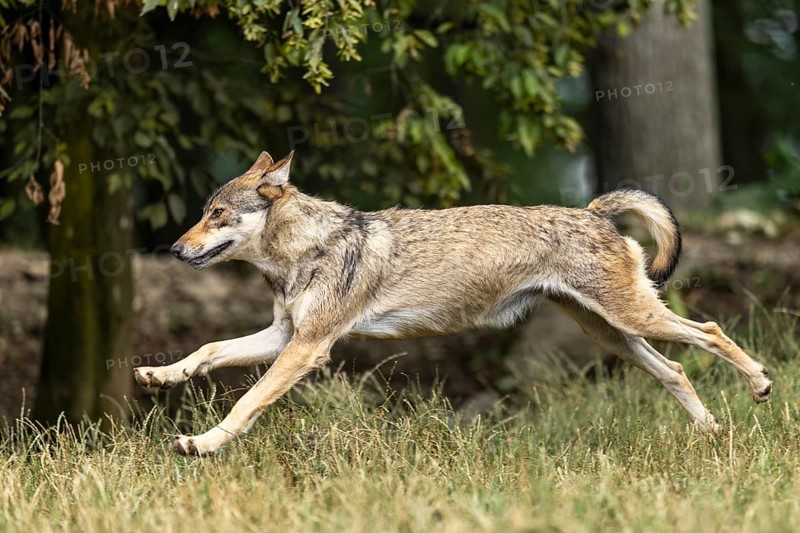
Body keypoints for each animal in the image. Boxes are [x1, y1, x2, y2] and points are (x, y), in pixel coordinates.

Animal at [134, 150, 773, 456]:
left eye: (216, 214)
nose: (174, 248)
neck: (304, 248)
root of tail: (591, 210)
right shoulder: (284, 336)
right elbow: (208, 348)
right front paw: (161, 375)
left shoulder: (308, 348)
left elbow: (245, 406)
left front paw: (201, 444)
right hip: (612, 333)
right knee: (676, 370)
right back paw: (713, 434)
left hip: (633, 319)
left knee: (711, 331)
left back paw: (762, 386)